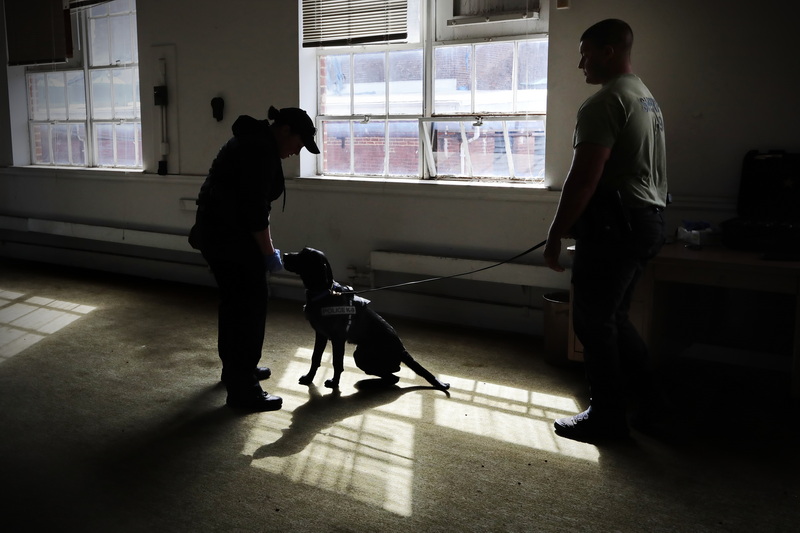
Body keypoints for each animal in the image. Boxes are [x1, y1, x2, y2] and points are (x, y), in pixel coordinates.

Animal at [282, 246, 450, 390]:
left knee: (395, 373)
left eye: (303, 256)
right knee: (393, 375)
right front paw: (309, 378)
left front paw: (335, 383)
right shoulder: (321, 334)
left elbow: (337, 362)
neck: (324, 293)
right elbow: (315, 358)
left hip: (360, 354)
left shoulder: (338, 338)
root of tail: (402, 349)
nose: (283, 254)